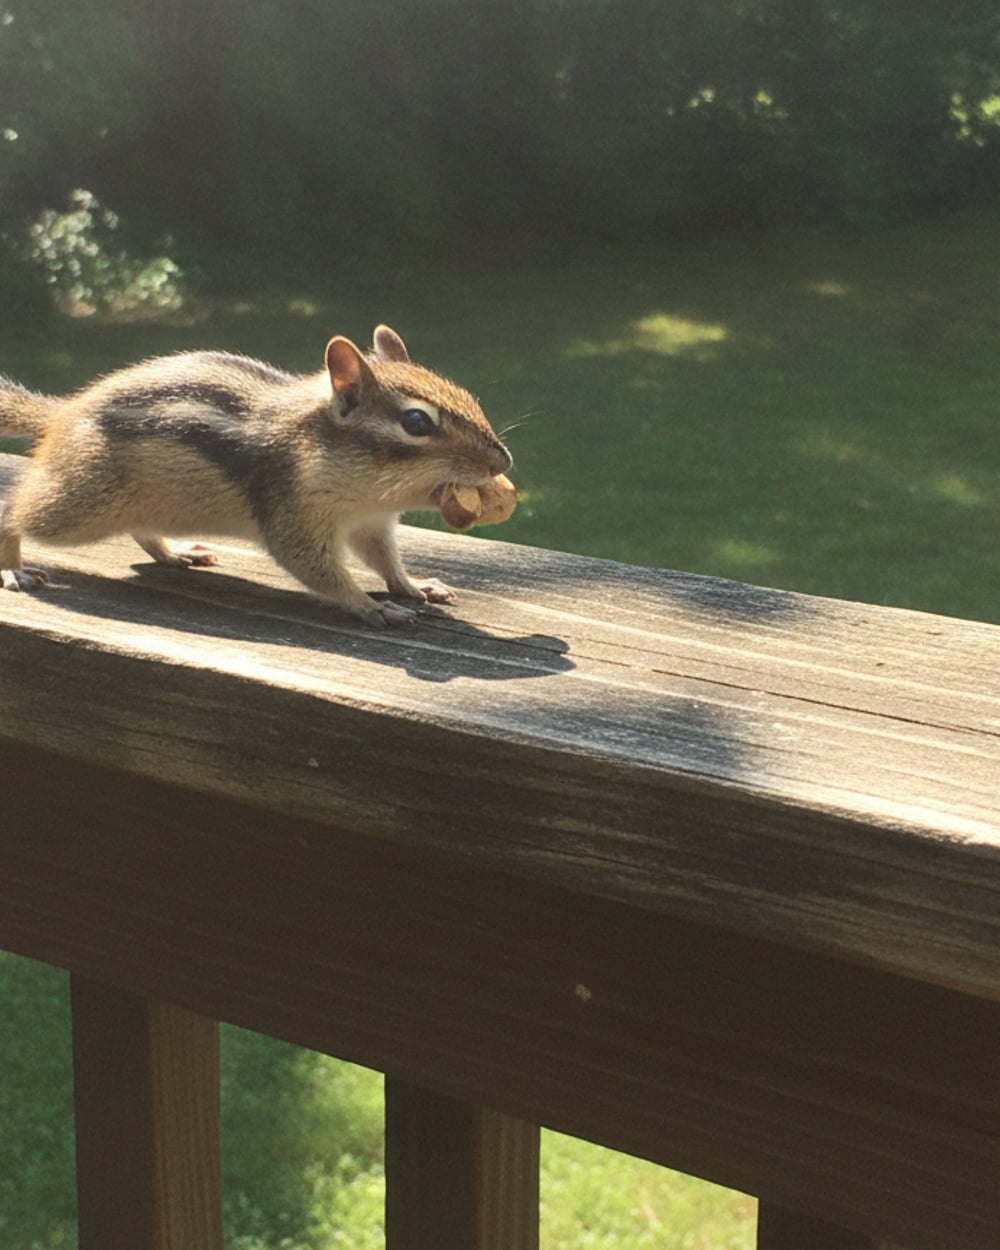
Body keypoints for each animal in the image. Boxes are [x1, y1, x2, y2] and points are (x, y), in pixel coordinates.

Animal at [0, 324, 512, 626]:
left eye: (468, 396)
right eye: (417, 423)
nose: (502, 463)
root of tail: (63, 414)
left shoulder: (370, 523)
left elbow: (384, 559)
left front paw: (413, 587)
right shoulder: (293, 510)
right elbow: (317, 569)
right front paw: (372, 606)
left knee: (143, 531)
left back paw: (177, 553)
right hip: (82, 504)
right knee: (14, 512)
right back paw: (12, 568)